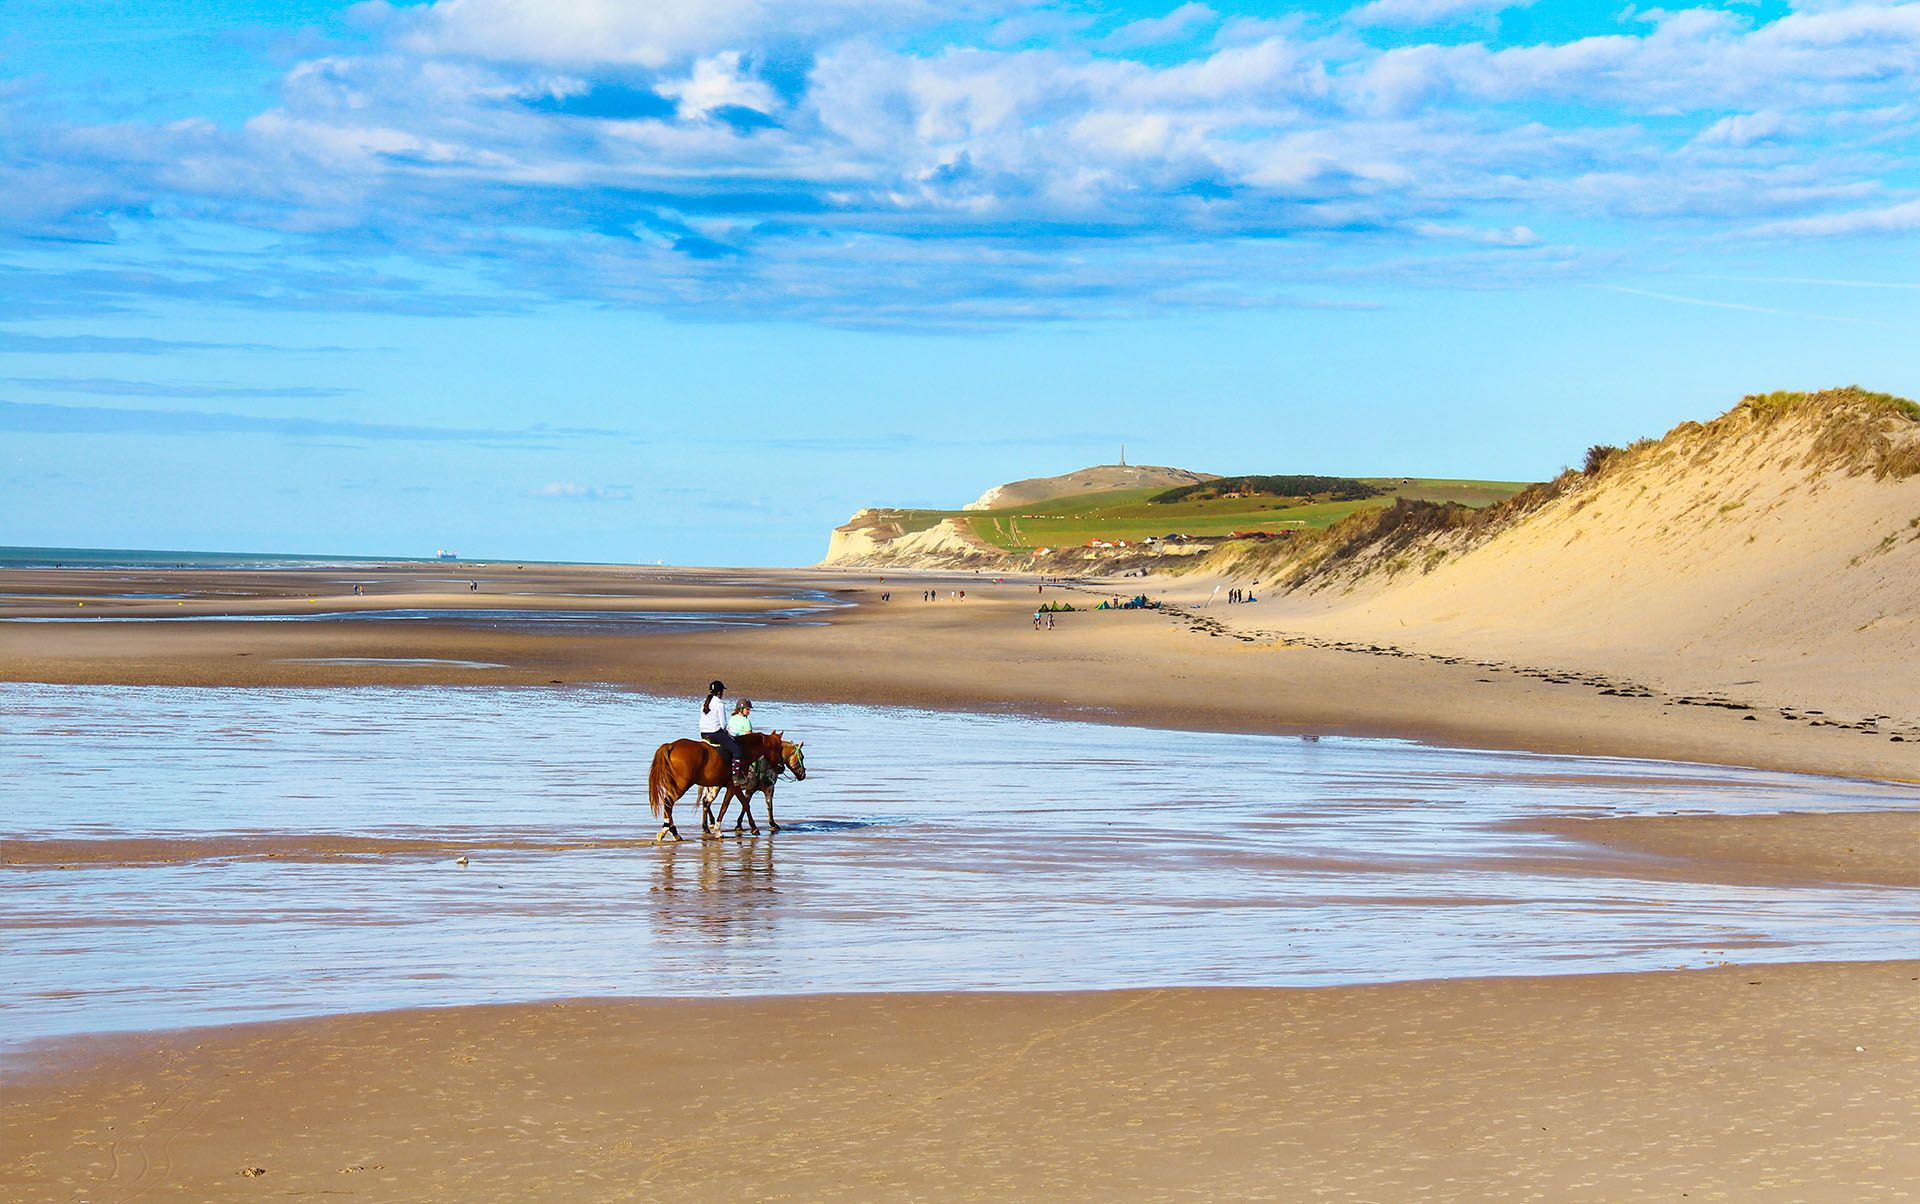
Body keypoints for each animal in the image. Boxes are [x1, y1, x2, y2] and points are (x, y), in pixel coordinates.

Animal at [648, 729, 806, 844]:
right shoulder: (740, 786)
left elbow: (743, 804)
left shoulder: (740, 788)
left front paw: (745, 826)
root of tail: (671, 745)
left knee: (699, 802)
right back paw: (671, 832)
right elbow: (741, 805)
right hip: (683, 785)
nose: (803, 775)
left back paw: (682, 831)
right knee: (670, 803)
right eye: (802, 757)